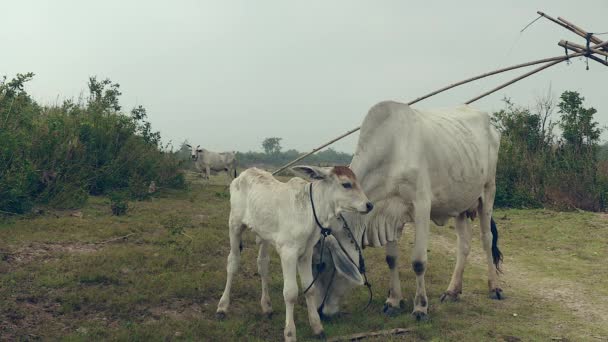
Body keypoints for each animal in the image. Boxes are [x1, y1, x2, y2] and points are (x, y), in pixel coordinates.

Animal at [216, 165, 372, 340]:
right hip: (234, 225)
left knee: (262, 265)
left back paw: (266, 306)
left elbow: (309, 289)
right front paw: (290, 333)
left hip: (264, 235)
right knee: (233, 263)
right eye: (346, 184)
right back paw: (222, 306)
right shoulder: (288, 253)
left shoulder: (306, 253)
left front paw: (317, 327)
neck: (311, 212)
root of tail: (246, 172)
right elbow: (290, 293)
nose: (369, 205)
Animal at [312, 101, 502, 320]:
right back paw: (452, 291)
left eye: (322, 264)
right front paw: (393, 301)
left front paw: (420, 307)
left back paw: (494, 288)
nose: (319, 310)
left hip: (488, 191)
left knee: (487, 239)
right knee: (464, 245)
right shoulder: (386, 215)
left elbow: (418, 262)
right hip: (460, 204)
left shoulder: (422, 206)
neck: (392, 151)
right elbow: (391, 259)